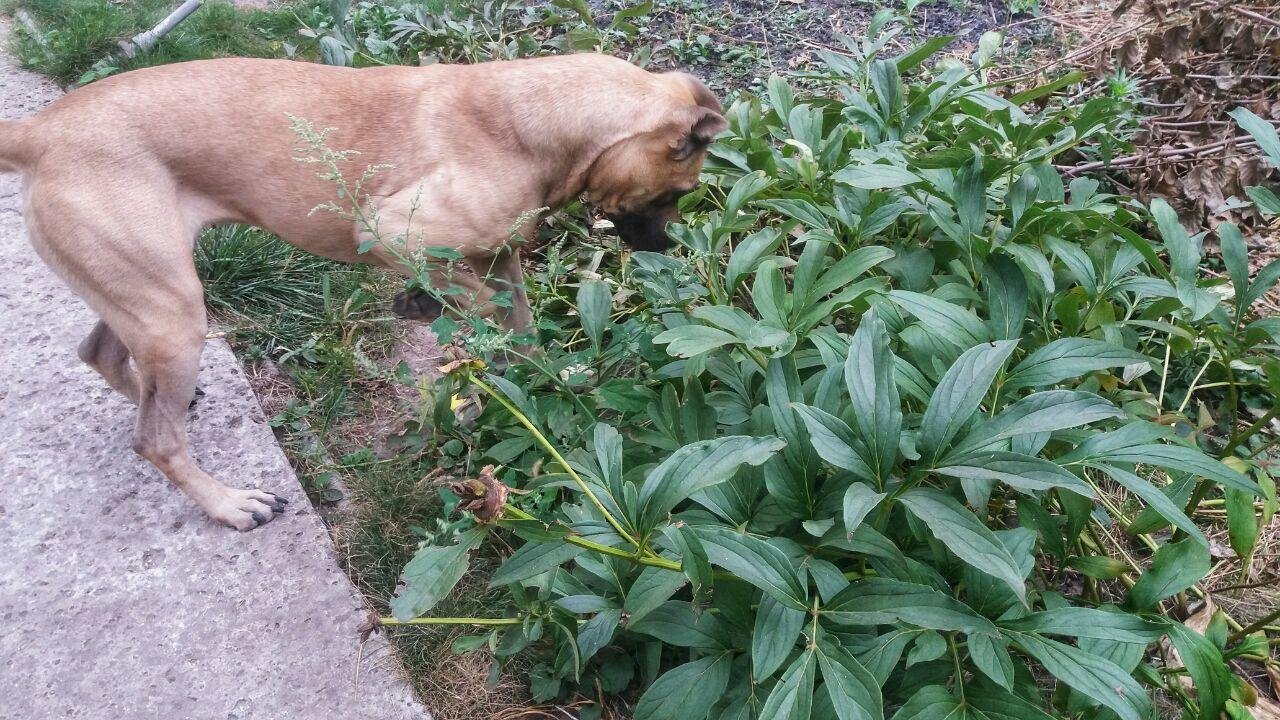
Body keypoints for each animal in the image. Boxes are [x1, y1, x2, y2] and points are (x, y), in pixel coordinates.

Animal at [0, 54, 727, 527]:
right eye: (679, 190)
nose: (670, 249)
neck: (528, 121)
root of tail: (38, 131)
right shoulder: (393, 233)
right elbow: (475, 307)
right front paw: (429, 310)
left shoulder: (499, 259)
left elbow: (518, 329)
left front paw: (546, 382)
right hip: (172, 314)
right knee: (155, 440)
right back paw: (229, 504)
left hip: (148, 297)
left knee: (102, 355)